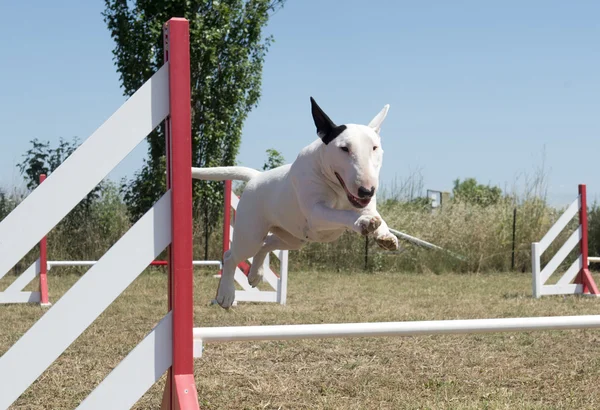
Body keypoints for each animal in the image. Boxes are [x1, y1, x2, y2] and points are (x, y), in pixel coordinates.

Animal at [192, 97, 398, 308]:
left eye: (374, 147)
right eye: (344, 148)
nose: (367, 190)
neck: (337, 188)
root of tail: (256, 178)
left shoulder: (366, 205)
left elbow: (377, 216)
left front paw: (385, 235)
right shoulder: (316, 213)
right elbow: (343, 214)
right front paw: (362, 222)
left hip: (293, 238)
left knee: (266, 244)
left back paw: (255, 274)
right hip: (249, 235)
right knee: (231, 256)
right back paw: (226, 294)